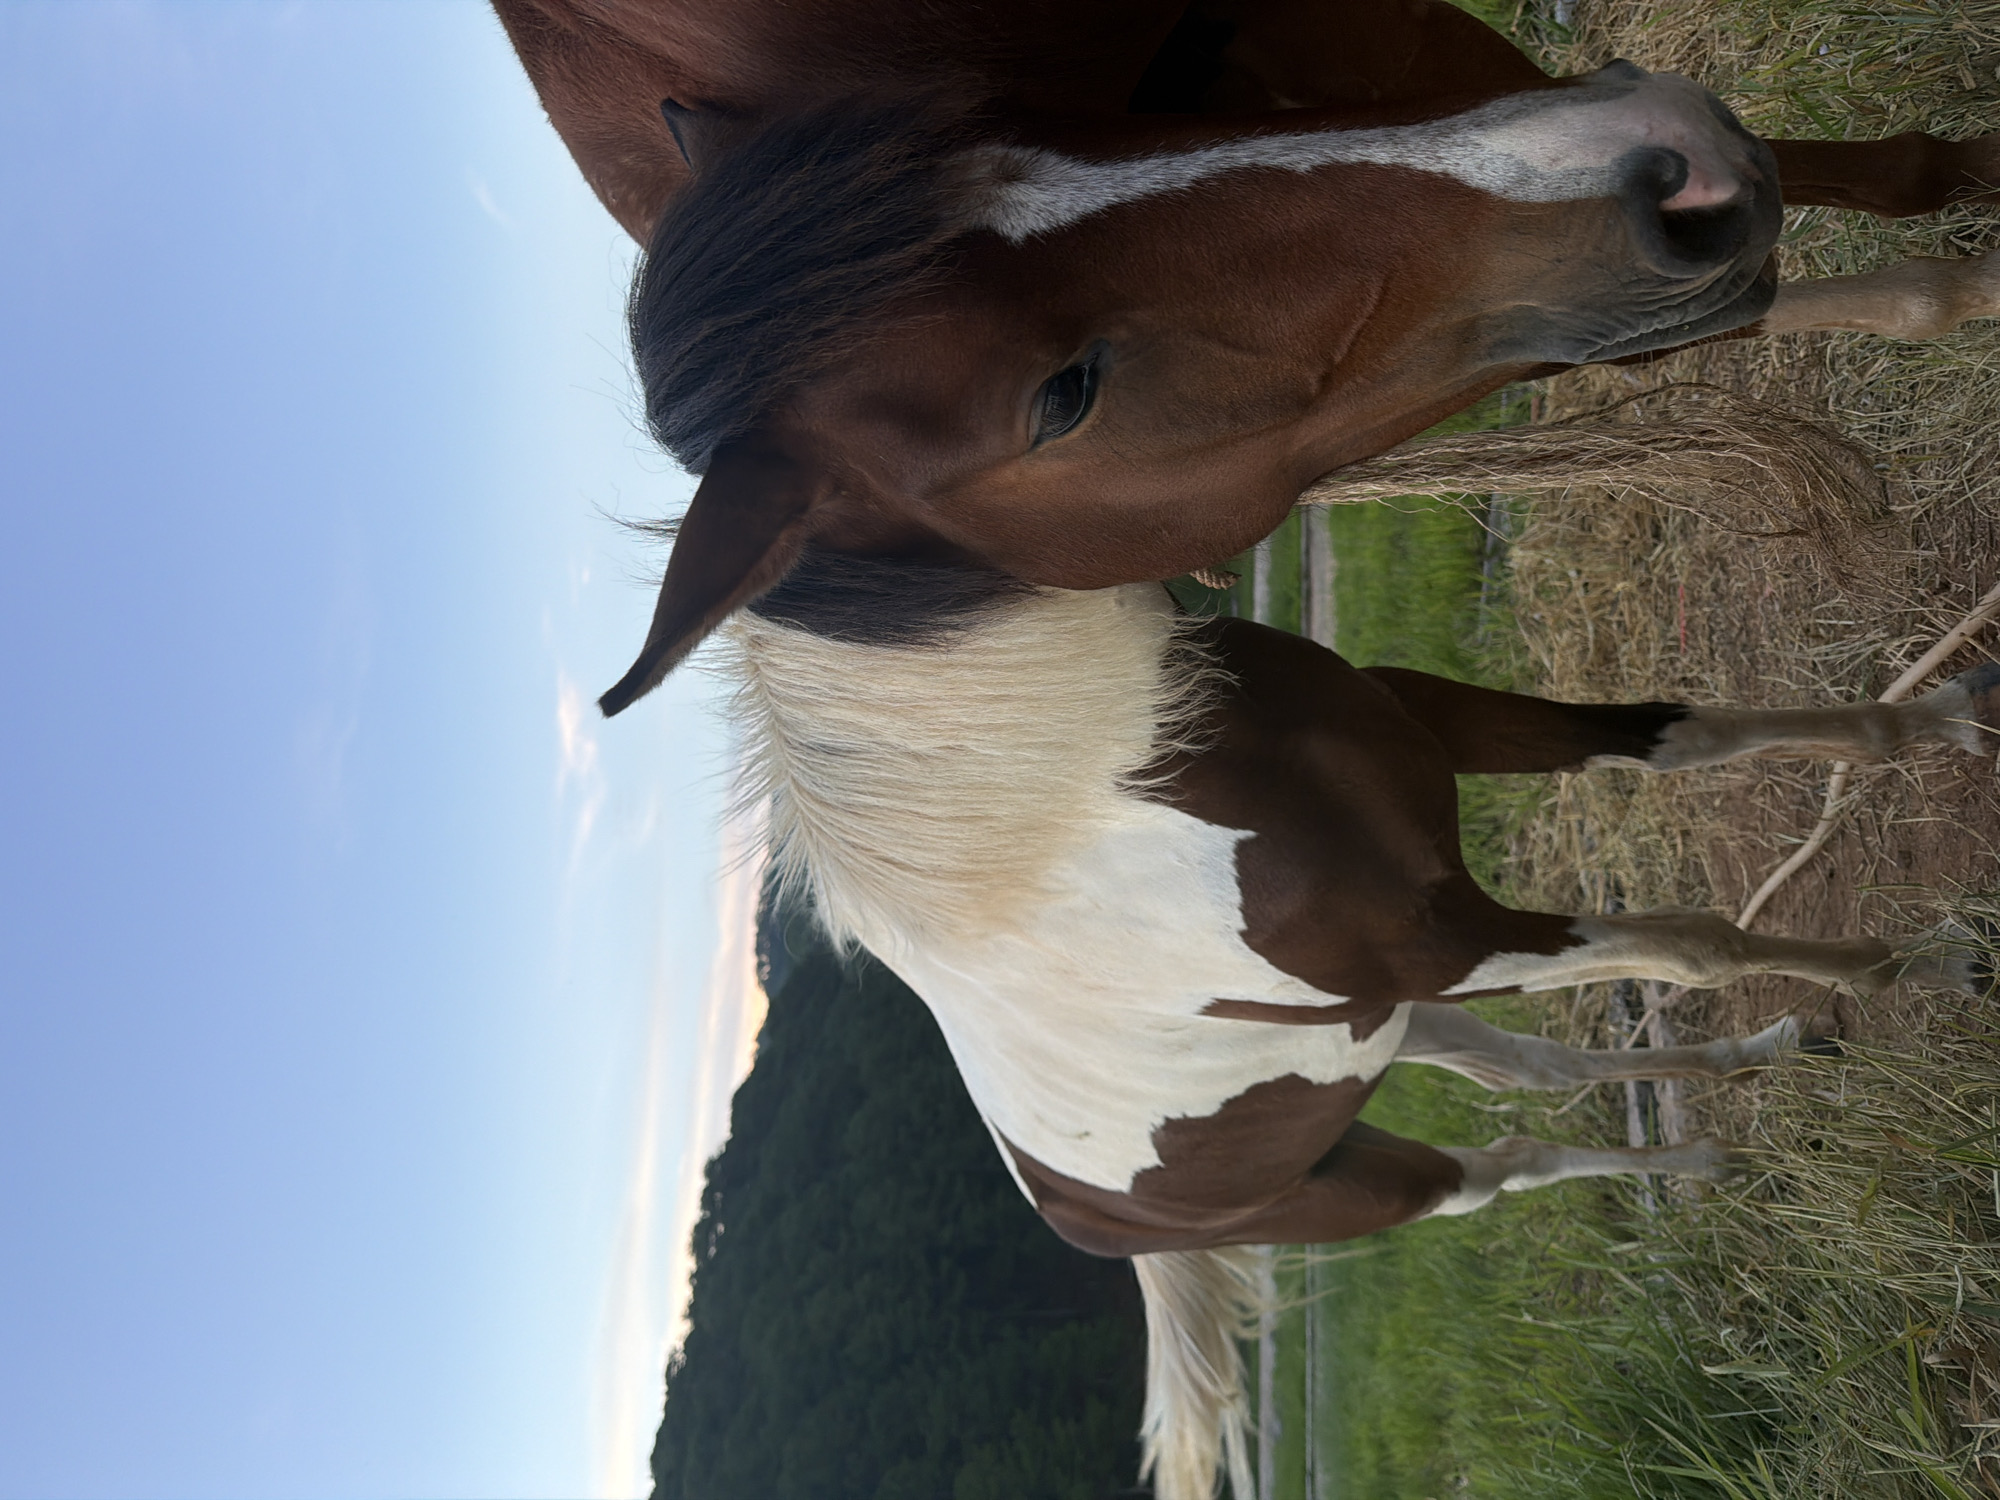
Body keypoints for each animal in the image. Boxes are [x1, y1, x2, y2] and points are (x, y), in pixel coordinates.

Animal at [700, 555, 1999, 1498]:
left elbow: (1679, 734)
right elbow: (1693, 942)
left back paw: (1728, 1108)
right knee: (1502, 1163)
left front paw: (1946, 718)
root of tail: (1070, 1205)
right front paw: (1924, 961)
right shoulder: (1449, 939)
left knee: (1535, 1077)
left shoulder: (1423, 724)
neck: (1094, 811)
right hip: (1376, 1161)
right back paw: (1708, 1133)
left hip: (1387, 1039)